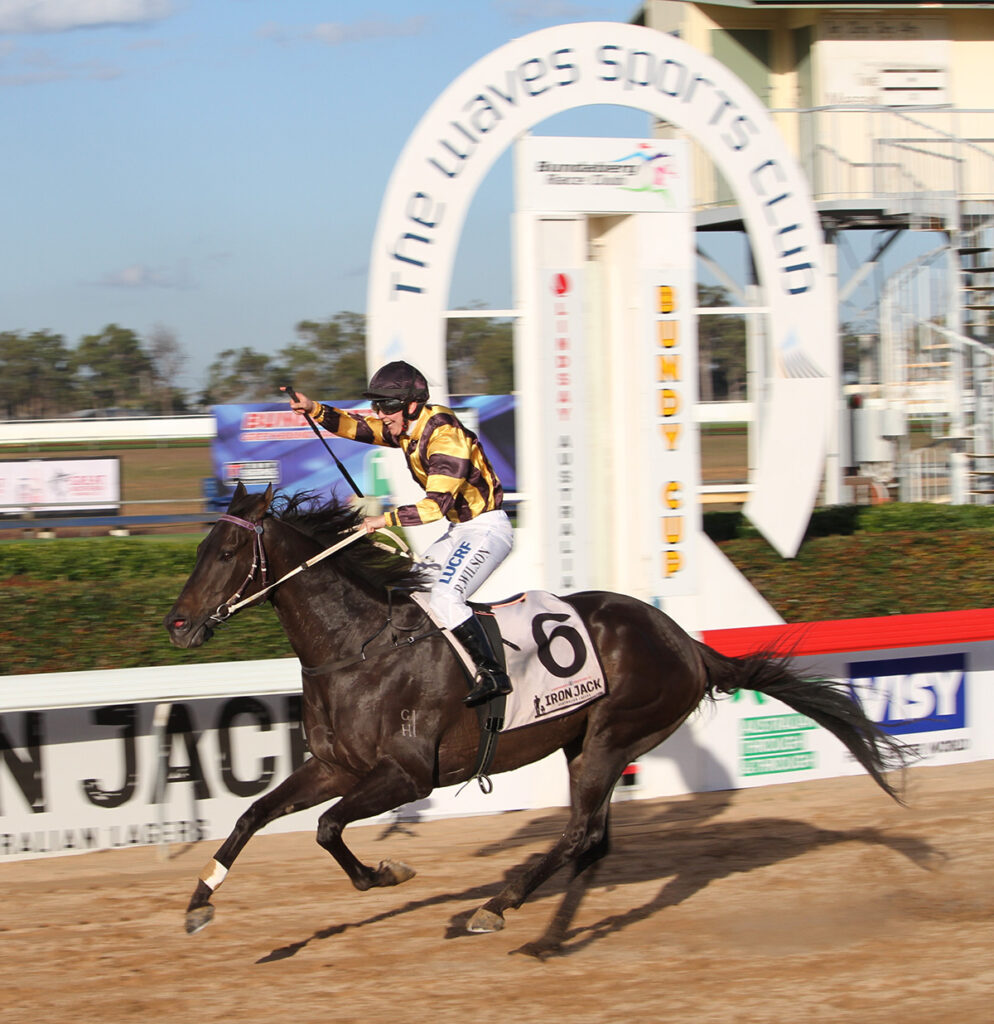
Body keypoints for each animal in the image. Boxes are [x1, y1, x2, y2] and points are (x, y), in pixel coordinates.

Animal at [162, 483, 909, 937]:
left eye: (226, 551)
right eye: (197, 547)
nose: (177, 625)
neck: (359, 647)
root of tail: (686, 643)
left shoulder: (406, 776)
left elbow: (324, 828)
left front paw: (384, 872)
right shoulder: (336, 766)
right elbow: (257, 815)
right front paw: (198, 901)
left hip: (612, 737)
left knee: (580, 834)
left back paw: (498, 907)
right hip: (586, 743)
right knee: (593, 838)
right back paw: (547, 920)